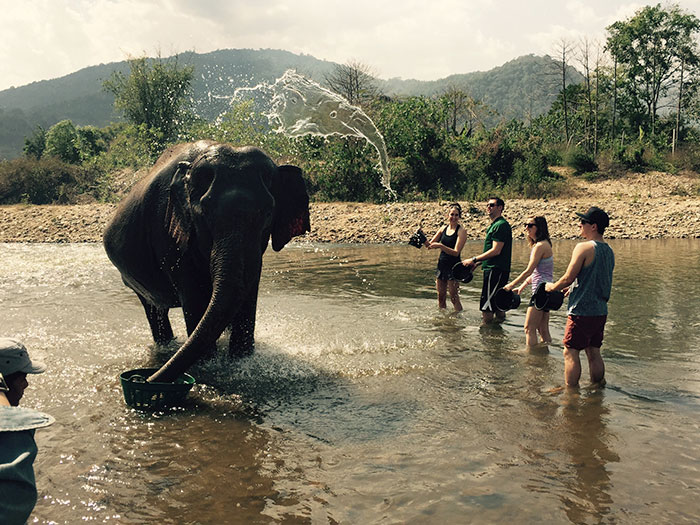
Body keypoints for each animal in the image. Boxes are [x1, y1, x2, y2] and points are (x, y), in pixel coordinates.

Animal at [103, 139, 308, 382]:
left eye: (268, 213)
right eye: (204, 214)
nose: (146, 379)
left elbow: (247, 294)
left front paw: (241, 362)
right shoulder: (168, 233)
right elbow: (195, 296)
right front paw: (208, 364)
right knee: (154, 310)